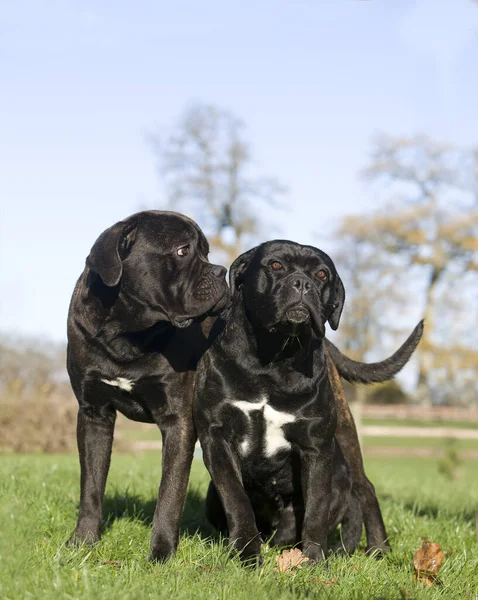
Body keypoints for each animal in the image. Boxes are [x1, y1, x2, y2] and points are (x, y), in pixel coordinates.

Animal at [67, 211, 230, 564]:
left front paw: (161, 553)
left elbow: (170, 493)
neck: (126, 335)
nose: (222, 271)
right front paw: (83, 542)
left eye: (207, 252)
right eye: (183, 250)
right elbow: (91, 485)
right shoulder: (94, 414)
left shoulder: (177, 421)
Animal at [193, 239, 422, 564]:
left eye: (322, 274)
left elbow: (316, 508)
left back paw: (379, 549)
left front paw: (313, 559)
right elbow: (236, 500)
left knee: (364, 489)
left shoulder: (316, 447)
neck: (273, 359)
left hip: (345, 437)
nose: (302, 283)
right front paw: (247, 552)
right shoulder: (217, 438)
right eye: (275, 265)